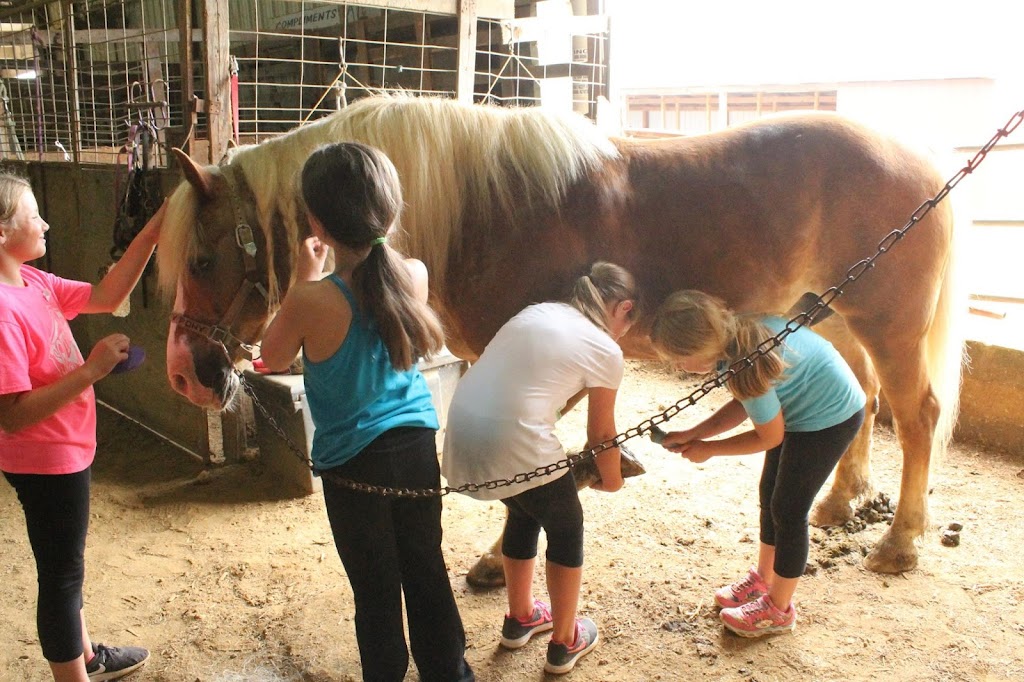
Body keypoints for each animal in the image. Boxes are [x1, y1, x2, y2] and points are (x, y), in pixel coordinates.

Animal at [155, 94, 962, 573]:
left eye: (201, 259)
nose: (187, 372)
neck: (484, 209)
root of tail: (924, 160)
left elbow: (525, 467)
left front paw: (495, 560)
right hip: (834, 309)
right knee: (863, 396)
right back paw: (839, 503)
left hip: (886, 323)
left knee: (916, 414)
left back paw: (900, 540)